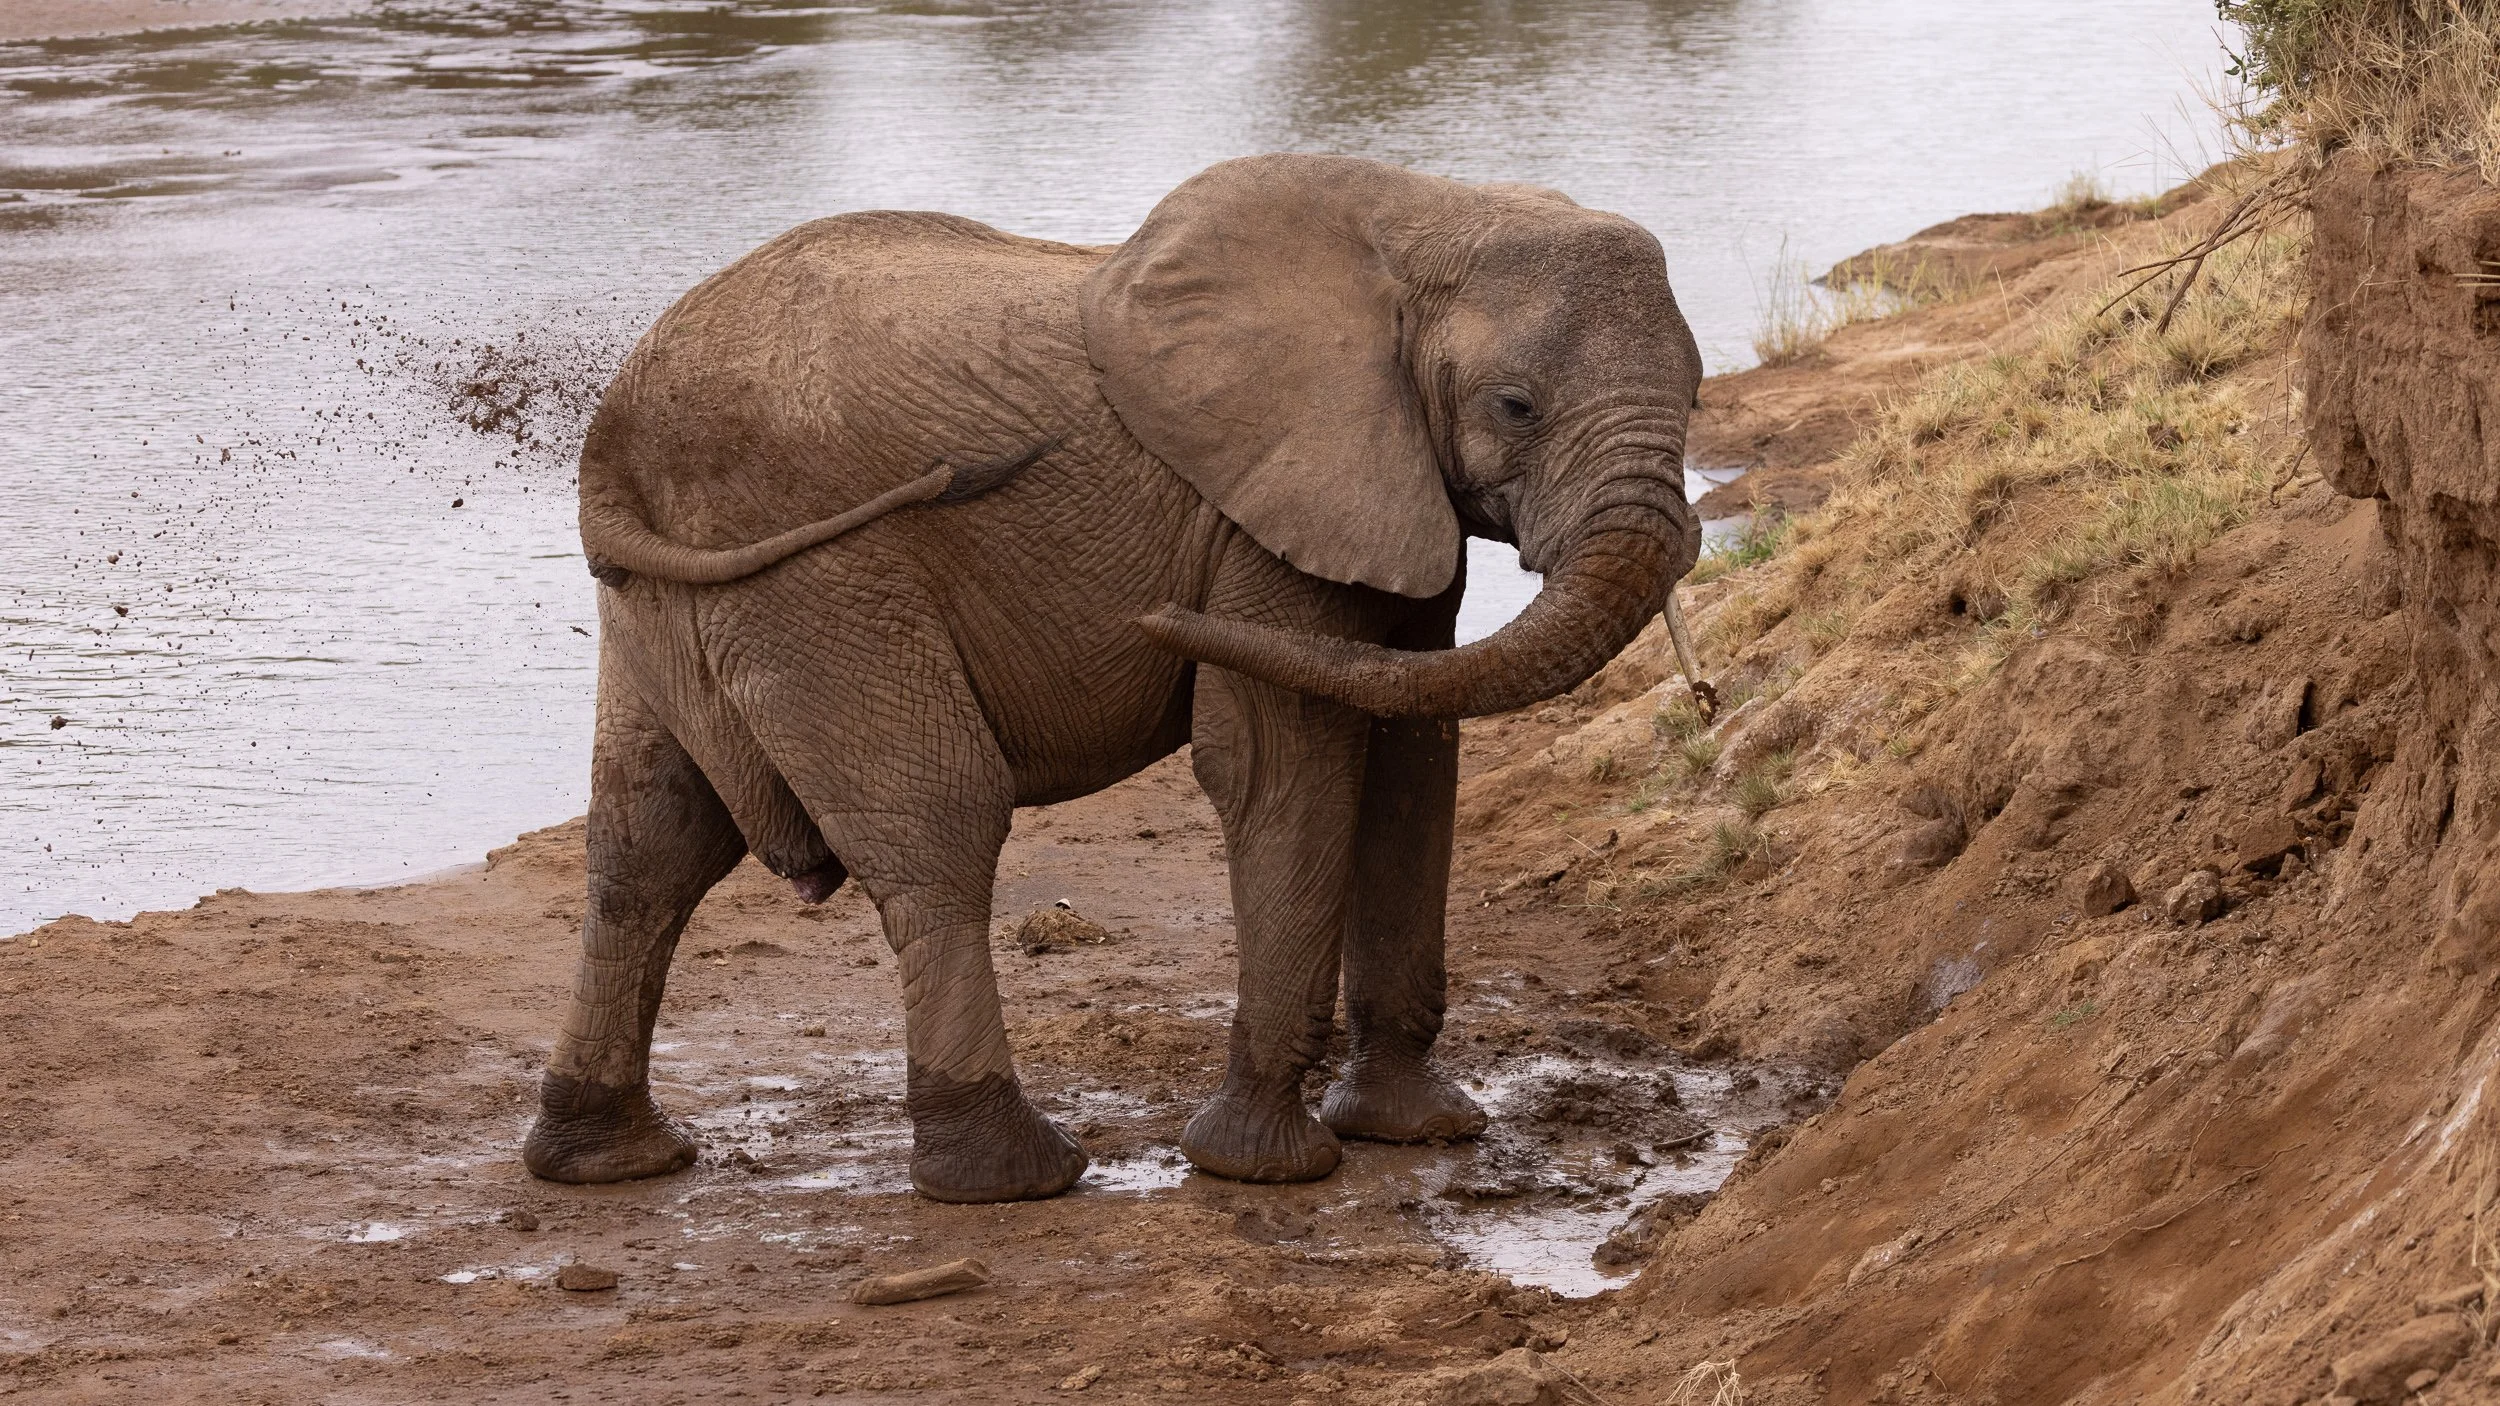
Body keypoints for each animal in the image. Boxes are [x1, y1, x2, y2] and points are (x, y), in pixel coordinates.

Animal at [520, 153, 1704, 1203]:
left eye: (1697, 397)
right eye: (1515, 406)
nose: (1153, 615)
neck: (1431, 213)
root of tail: (610, 438)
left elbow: (1414, 751)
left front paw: (1419, 1130)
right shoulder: (1261, 514)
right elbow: (1281, 762)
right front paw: (1265, 1166)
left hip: (664, 599)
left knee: (646, 844)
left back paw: (605, 1158)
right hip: (818, 578)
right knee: (940, 829)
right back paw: (1015, 1180)